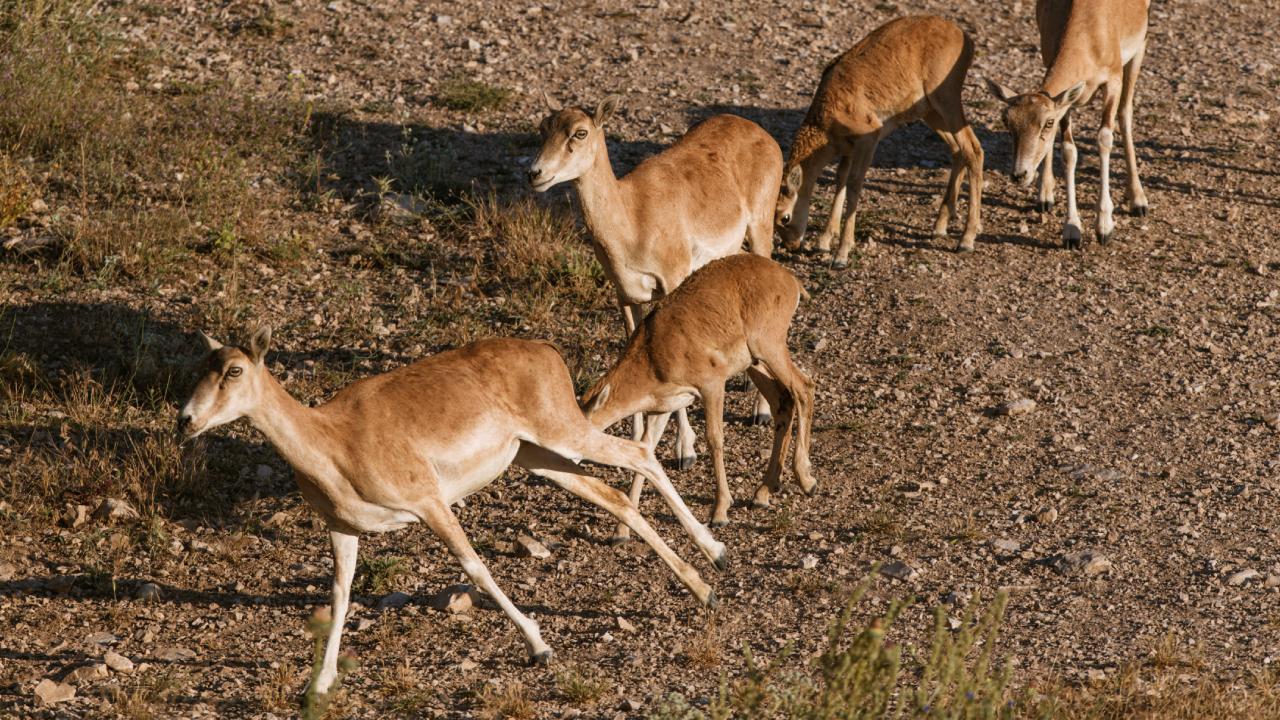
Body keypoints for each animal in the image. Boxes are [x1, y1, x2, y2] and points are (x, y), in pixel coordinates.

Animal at [177, 327, 732, 691]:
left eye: (233, 370)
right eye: (198, 369)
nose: (185, 419)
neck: (335, 440)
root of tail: (546, 351)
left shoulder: (430, 503)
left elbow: (476, 568)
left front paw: (539, 646)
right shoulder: (342, 528)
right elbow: (339, 596)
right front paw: (320, 683)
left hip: (564, 435)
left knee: (640, 454)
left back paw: (717, 554)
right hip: (540, 459)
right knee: (613, 495)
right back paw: (702, 584)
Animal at [527, 94, 783, 466]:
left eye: (580, 132)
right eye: (543, 127)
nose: (536, 173)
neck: (633, 217)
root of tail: (762, 134)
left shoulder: (672, 281)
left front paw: (685, 451)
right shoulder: (626, 295)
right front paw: (637, 436)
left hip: (761, 227)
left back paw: (760, 410)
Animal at [583, 253, 819, 538]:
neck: (652, 351)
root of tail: (789, 280)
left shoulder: (711, 386)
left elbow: (714, 439)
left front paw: (720, 512)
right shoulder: (662, 409)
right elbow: (646, 449)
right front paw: (620, 532)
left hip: (769, 348)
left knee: (804, 389)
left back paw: (806, 480)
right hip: (756, 363)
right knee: (783, 402)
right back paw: (763, 491)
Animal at [773, 14, 983, 263]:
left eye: (784, 217)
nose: (792, 245)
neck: (826, 116)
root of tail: (965, 37)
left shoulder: (868, 139)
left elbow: (854, 184)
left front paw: (842, 254)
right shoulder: (848, 148)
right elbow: (840, 180)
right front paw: (824, 241)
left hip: (947, 101)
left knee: (973, 149)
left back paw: (966, 240)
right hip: (930, 112)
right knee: (958, 150)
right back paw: (940, 226)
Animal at [983, 0, 1157, 249]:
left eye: (1047, 122)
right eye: (1006, 120)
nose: (1019, 174)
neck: (1090, 33)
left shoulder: (1112, 80)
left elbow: (1104, 138)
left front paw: (1104, 227)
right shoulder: (1066, 100)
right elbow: (1068, 151)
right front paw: (1072, 231)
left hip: (1138, 50)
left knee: (1125, 112)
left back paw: (1138, 200)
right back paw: (1045, 196)